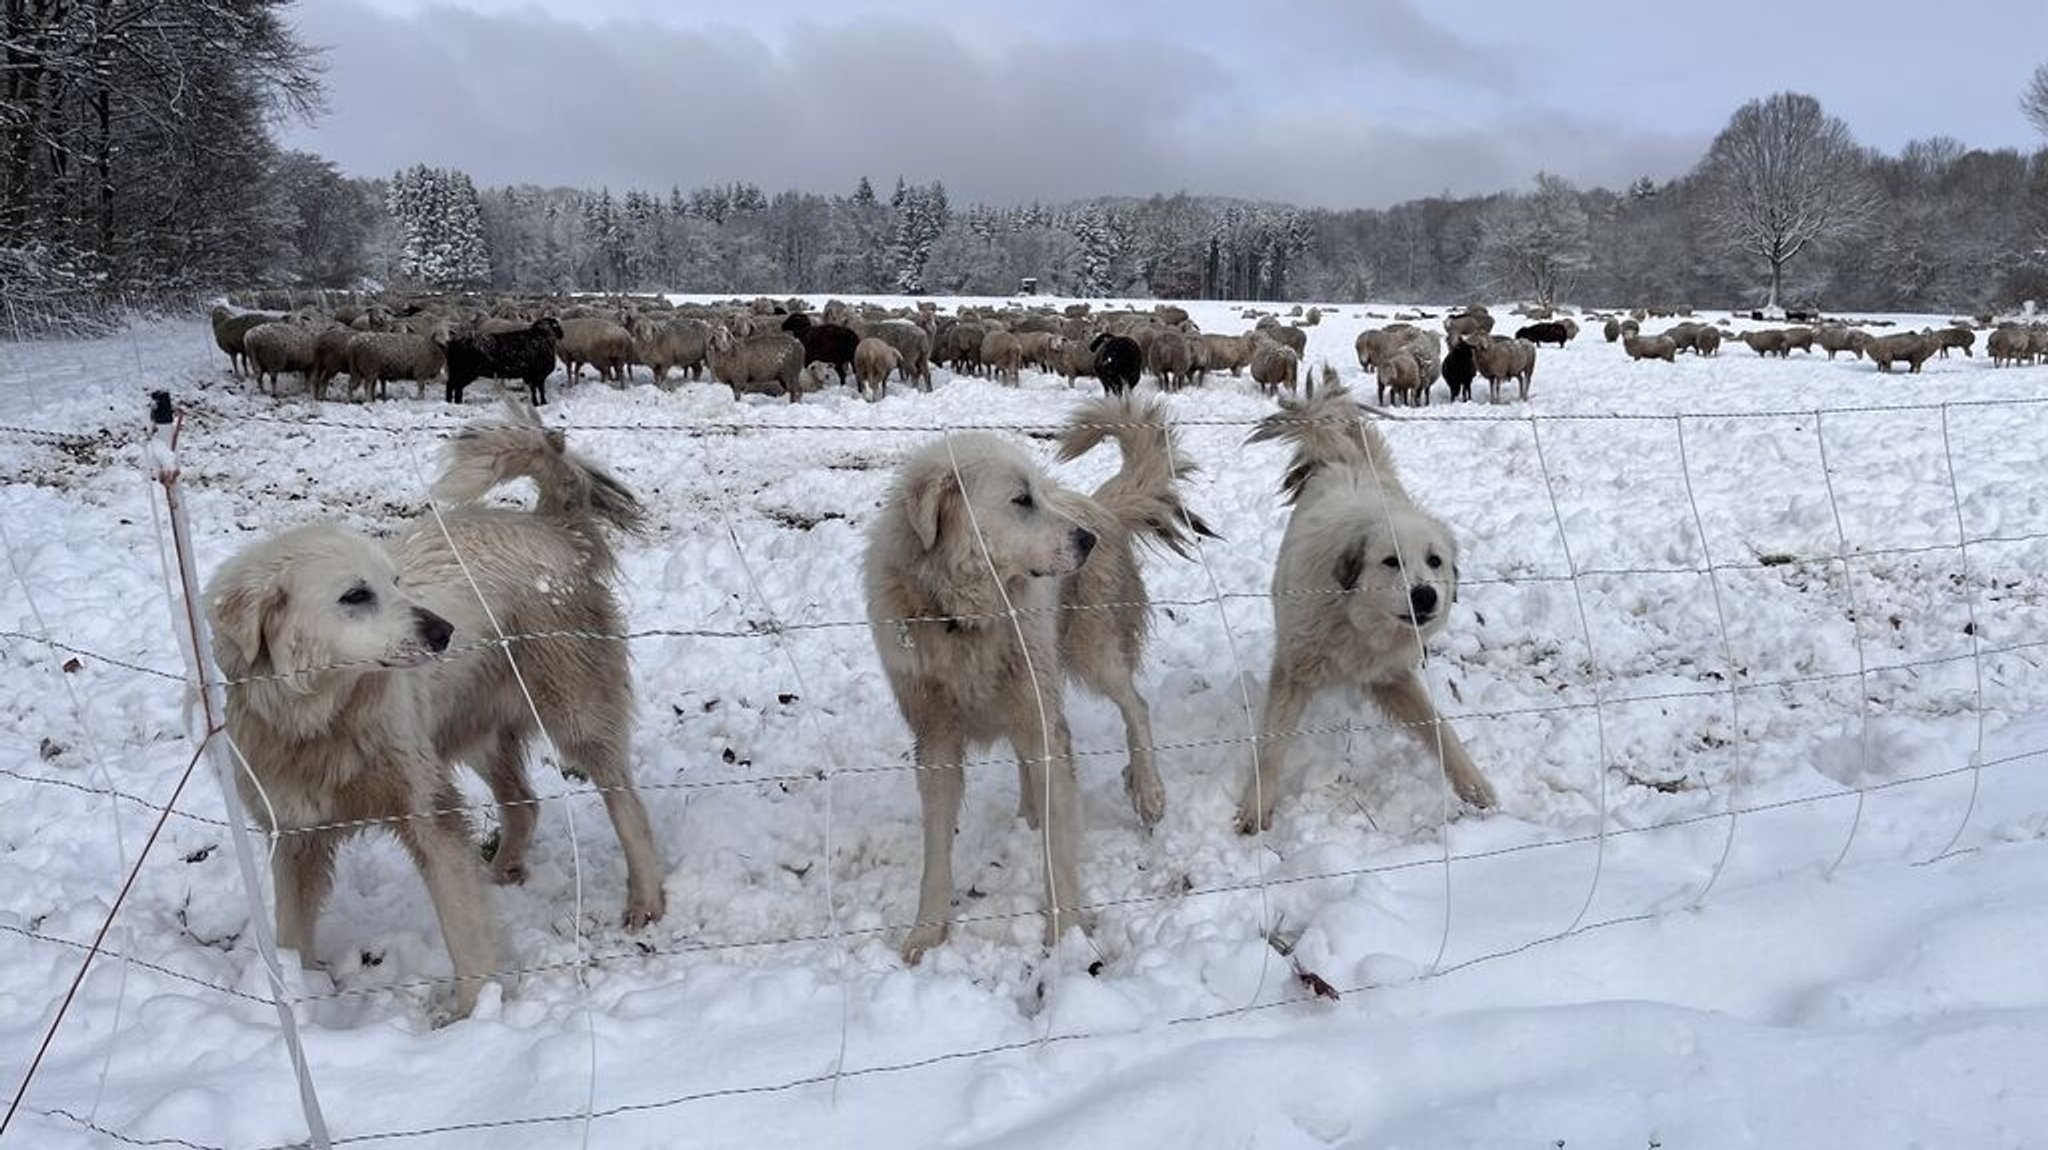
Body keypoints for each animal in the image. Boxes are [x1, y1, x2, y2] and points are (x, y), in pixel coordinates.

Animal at [868, 390, 1212, 957]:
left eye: (1037, 493)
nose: (1086, 541)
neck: (966, 620)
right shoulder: (936, 741)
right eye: (1021, 500)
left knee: (1134, 706)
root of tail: (1098, 506)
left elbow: (1059, 839)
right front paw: (926, 933)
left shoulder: (1039, 714)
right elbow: (936, 851)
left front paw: (1066, 933)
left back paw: (1147, 788)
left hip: (1091, 653)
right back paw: (1029, 813)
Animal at [1220, 366, 1499, 830]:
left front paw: (1475, 788)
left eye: (1435, 561)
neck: (1354, 620)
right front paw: (1257, 807)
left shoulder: (1392, 676)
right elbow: (1272, 746)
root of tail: (1342, 455)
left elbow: (1442, 731)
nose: (1425, 596)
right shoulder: (1293, 672)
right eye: (1390, 561)